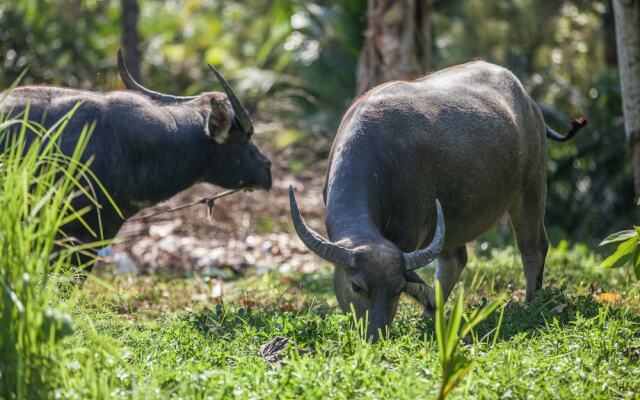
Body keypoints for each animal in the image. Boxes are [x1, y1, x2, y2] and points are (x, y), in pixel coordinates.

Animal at [290, 61, 584, 342]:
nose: (374, 336)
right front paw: (430, 306)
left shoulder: (408, 234)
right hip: (453, 219)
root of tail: (528, 101)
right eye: (357, 286)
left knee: (532, 247)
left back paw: (530, 302)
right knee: (455, 260)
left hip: (532, 186)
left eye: (397, 289)